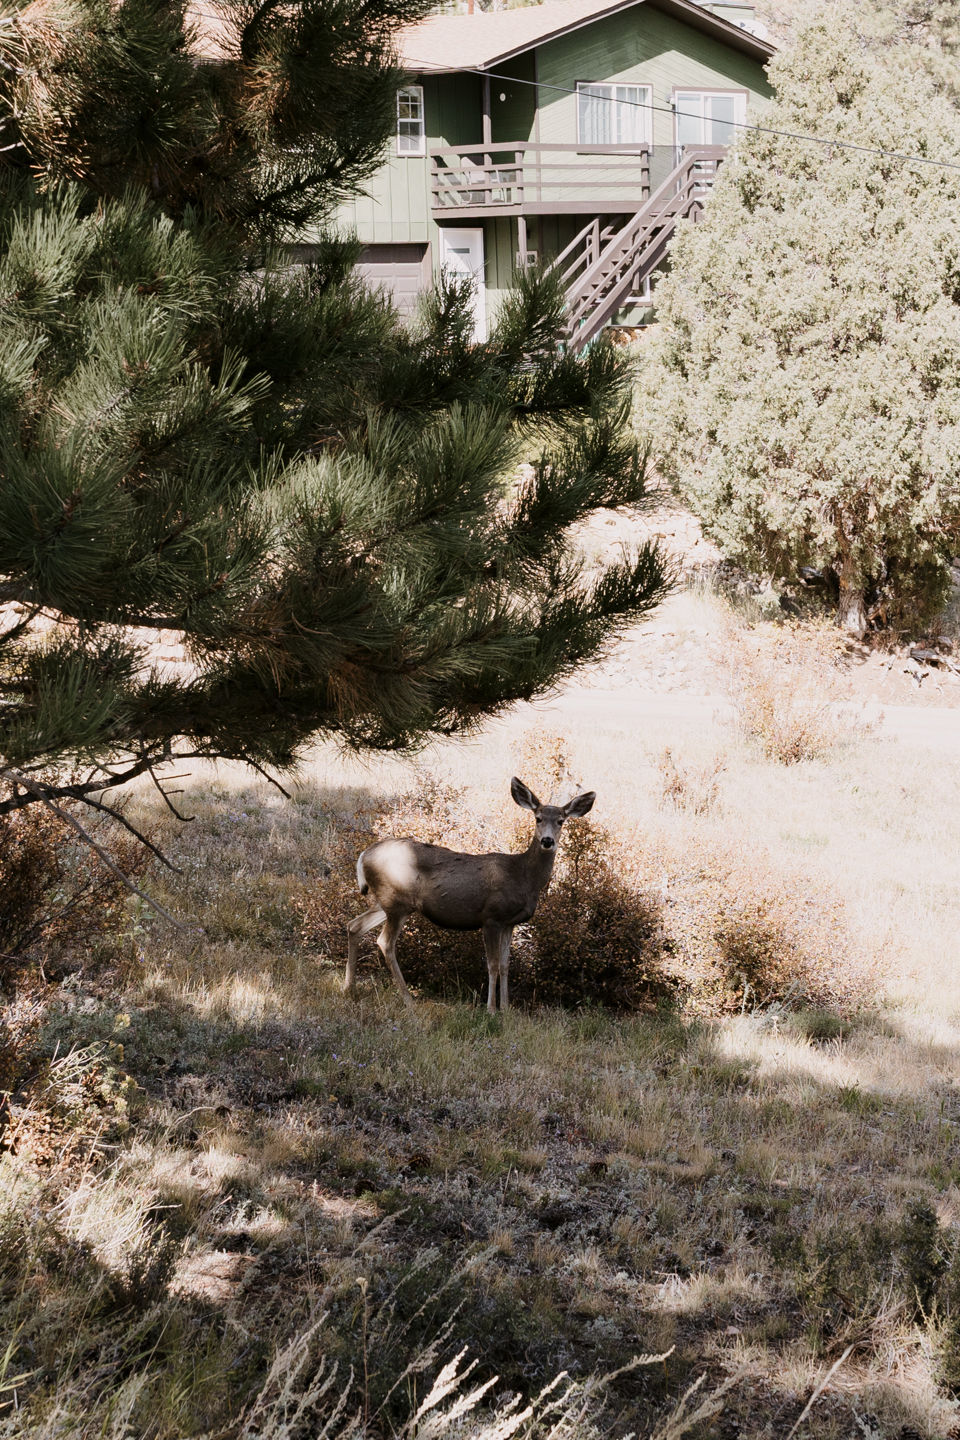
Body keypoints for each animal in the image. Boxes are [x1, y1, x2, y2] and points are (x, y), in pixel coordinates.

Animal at [344, 777, 595, 1014]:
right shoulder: (491, 917)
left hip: (387, 901)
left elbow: (505, 965)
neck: (523, 877)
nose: (547, 841)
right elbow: (492, 964)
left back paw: (349, 988)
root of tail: (364, 855)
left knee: (354, 925)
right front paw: (491, 1009)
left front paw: (506, 1008)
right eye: (538, 818)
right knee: (384, 942)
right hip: (396, 901)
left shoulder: (510, 922)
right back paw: (408, 1000)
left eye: (561, 821)